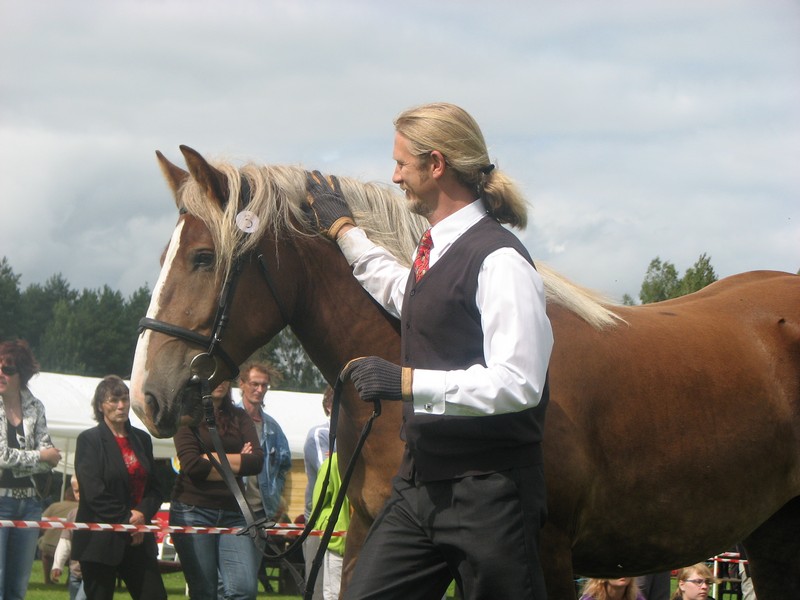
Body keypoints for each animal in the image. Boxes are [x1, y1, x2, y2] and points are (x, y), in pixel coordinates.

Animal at [131, 146, 800, 600]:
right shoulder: (370, 535)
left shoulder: (546, 555)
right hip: (772, 538)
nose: (146, 397)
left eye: (203, 258)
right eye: (165, 256)